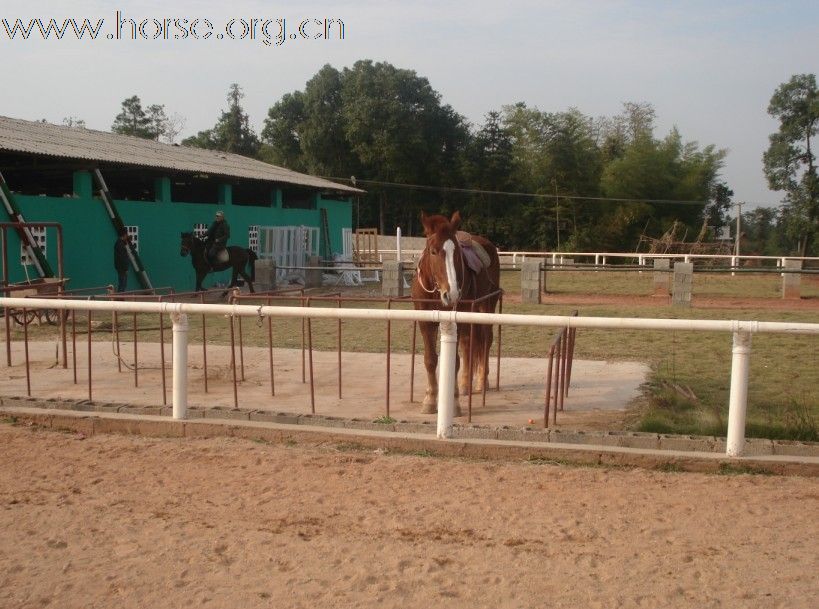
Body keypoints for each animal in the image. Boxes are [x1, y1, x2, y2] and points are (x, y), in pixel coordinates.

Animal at [414, 211, 502, 416]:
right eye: (433, 251)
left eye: (457, 254)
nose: (452, 293)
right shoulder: (425, 322)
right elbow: (430, 360)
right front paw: (430, 400)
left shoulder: (456, 319)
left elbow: (454, 360)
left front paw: (453, 404)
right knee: (468, 343)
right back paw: (464, 385)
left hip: (486, 306)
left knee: (486, 340)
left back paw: (481, 381)